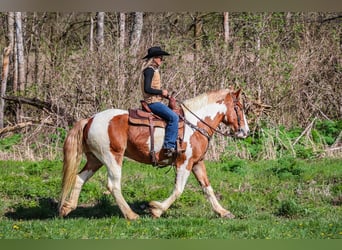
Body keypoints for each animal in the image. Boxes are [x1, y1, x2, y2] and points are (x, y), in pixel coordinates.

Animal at [58, 89, 250, 220]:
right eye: (238, 107)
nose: (245, 131)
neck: (195, 124)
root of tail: (90, 119)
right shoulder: (184, 163)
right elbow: (178, 189)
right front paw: (156, 209)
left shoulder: (197, 162)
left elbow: (207, 187)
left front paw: (223, 212)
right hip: (112, 158)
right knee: (113, 185)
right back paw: (131, 215)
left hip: (95, 159)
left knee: (79, 178)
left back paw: (67, 208)